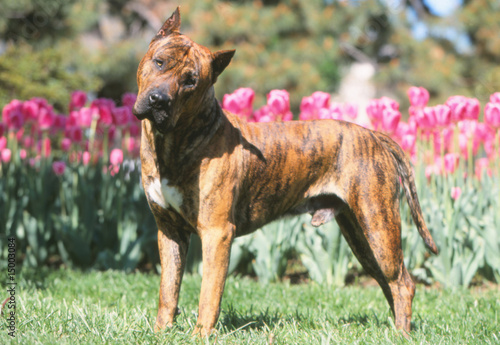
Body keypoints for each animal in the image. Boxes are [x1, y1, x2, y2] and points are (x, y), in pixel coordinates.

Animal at [133, 7, 438, 336]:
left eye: (191, 81)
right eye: (159, 62)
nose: (158, 100)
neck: (172, 142)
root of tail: (374, 135)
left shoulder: (217, 233)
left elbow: (208, 294)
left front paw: (201, 335)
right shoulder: (169, 230)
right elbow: (168, 289)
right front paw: (161, 331)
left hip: (379, 226)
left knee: (403, 283)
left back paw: (401, 334)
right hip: (361, 237)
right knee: (387, 282)